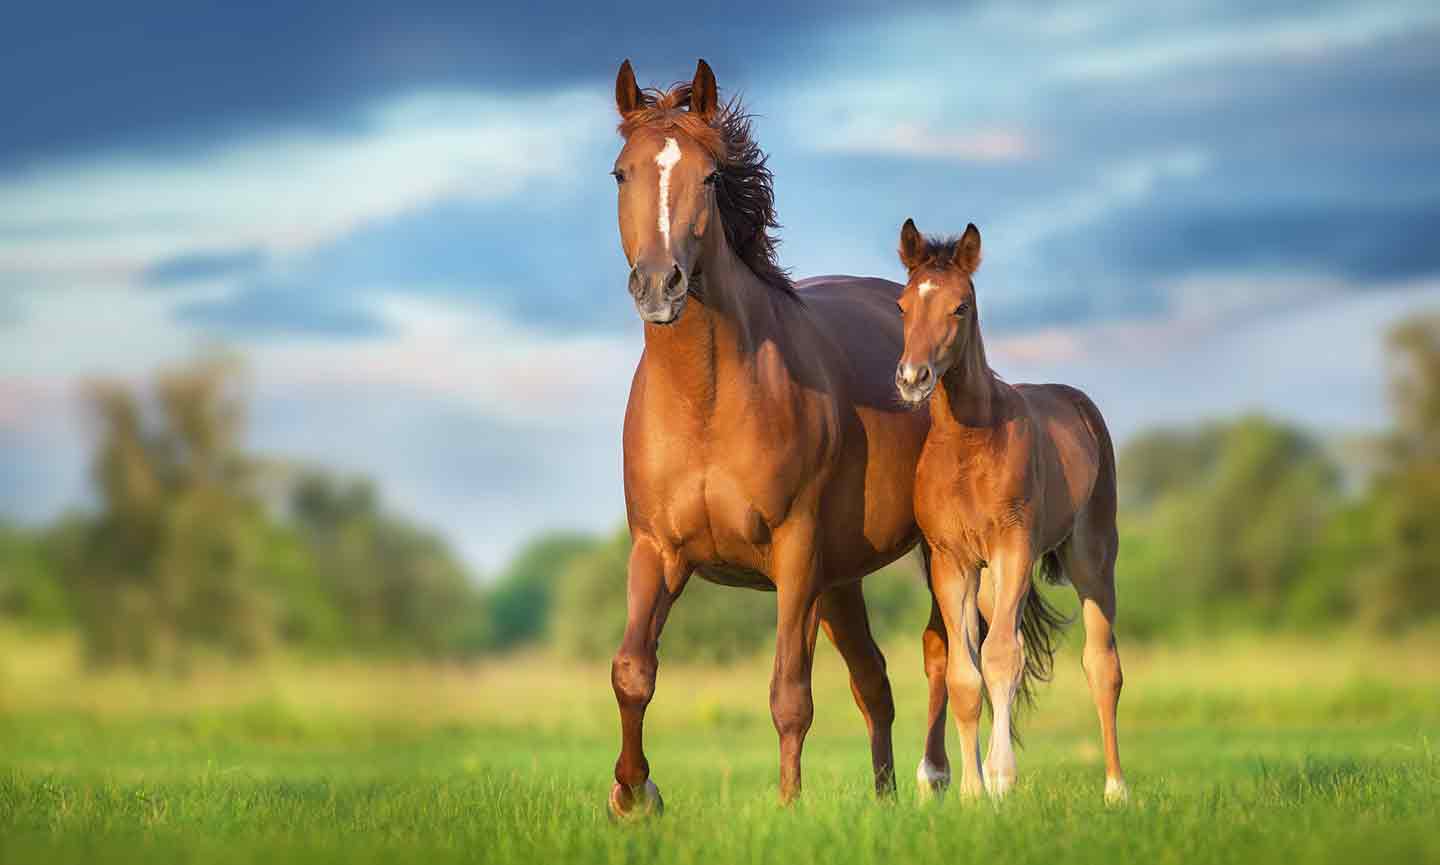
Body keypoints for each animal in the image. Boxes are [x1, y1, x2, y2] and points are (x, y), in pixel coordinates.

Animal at [605, 58, 936, 816]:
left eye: (708, 176)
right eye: (621, 173)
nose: (659, 286)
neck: (706, 402)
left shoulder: (795, 553)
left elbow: (790, 695)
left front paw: (788, 808)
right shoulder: (657, 550)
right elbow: (633, 670)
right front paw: (634, 795)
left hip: (931, 555)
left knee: (955, 653)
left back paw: (949, 781)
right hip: (842, 580)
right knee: (874, 682)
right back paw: (886, 799)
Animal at [893, 218, 1128, 803]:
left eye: (960, 306)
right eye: (903, 305)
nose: (912, 378)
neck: (967, 445)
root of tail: (1079, 404)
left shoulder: (1012, 548)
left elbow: (1000, 658)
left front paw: (1000, 780)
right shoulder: (952, 562)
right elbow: (965, 673)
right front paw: (972, 792)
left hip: (1091, 559)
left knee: (1102, 665)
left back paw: (1117, 789)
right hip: (995, 582)